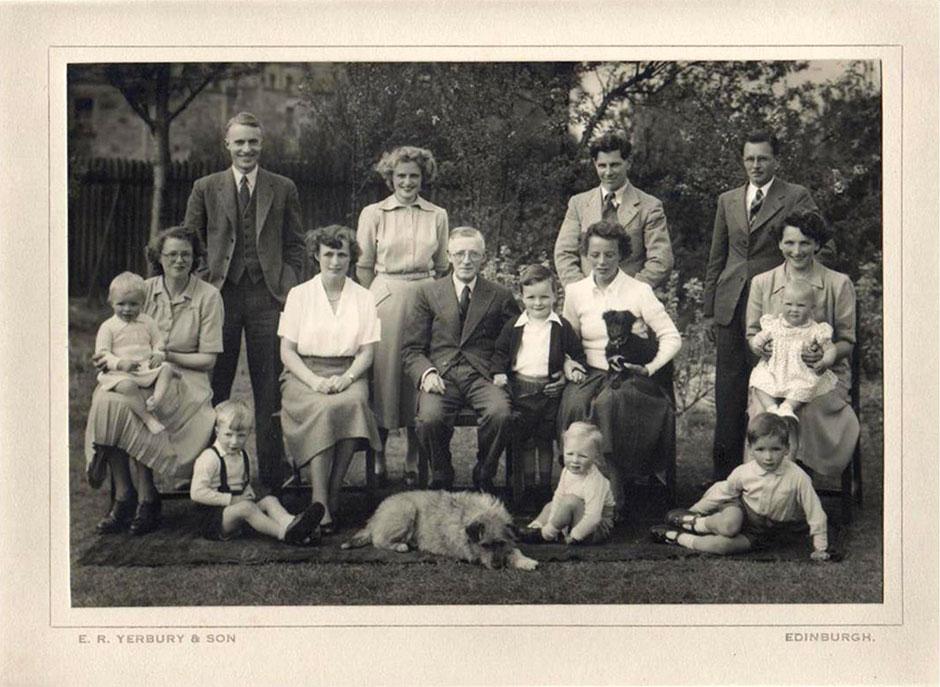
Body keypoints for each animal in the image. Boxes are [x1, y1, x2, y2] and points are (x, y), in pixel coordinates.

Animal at [344, 492, 536, 572]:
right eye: (484, 545)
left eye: (501, 543)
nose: (497, 567)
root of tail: (375, 516)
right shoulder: (472, 554)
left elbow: (514, 550)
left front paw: (525, 561)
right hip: (406, 510)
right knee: (378, 540)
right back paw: (401, 546)